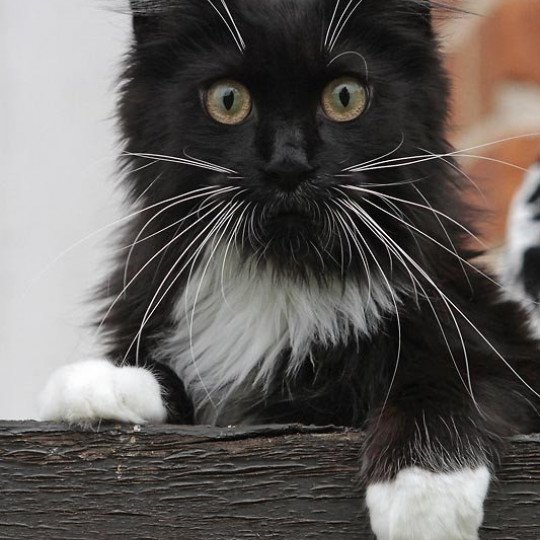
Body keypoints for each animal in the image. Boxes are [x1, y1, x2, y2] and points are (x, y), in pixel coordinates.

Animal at [39, 2, 540, 536]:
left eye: (345, 96)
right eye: (228, 100)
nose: (288, 165)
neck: (284, 277)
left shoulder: (498, 333)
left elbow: (452, 377)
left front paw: (424, 493)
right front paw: (98, 384)